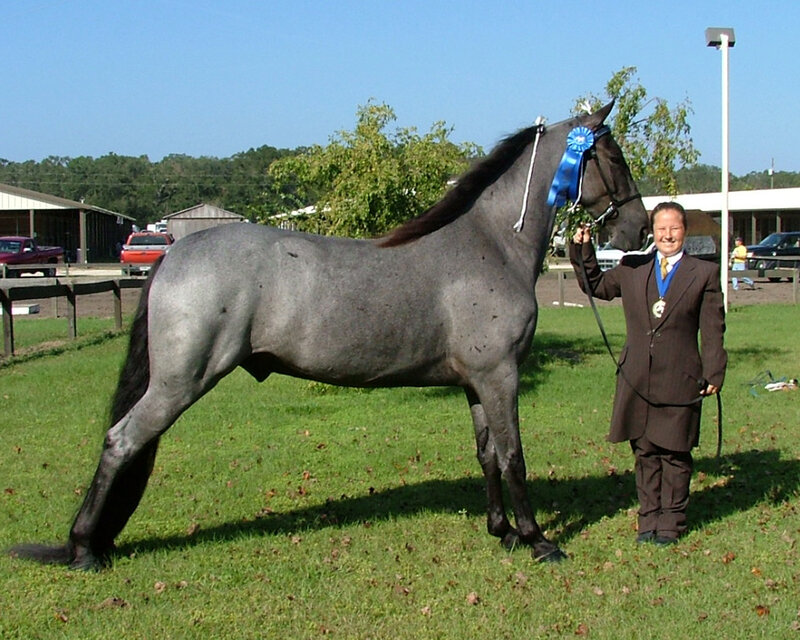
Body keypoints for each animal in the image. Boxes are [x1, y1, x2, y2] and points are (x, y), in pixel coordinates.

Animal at [11, 101, 648, 570]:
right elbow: (514, 455)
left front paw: (502, 532)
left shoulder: (477, 382)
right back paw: (84, 549)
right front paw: (538, 540)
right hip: (178, 382)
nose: (637, 228)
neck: (489, 243)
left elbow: (488, 454)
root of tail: (174, 254)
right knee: (121, 440)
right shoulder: (500, 376)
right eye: (613, 155)